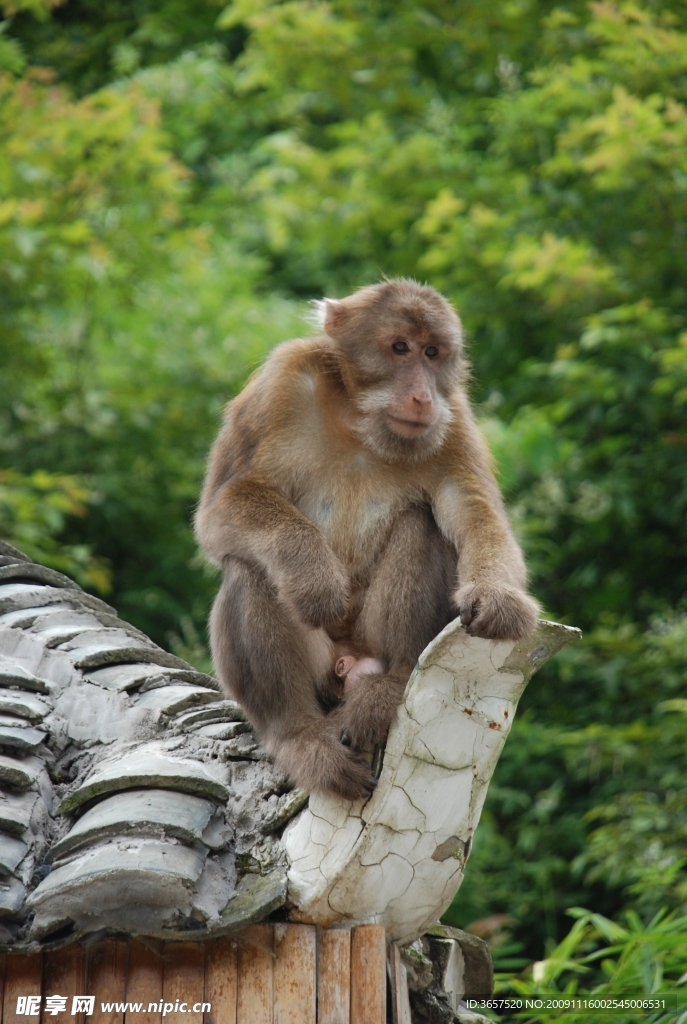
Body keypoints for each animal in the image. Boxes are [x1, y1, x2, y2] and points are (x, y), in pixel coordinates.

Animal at [196, 278, 540, 798]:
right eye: (399, 348)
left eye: (432, 352)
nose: (421, 396)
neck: (359, 421)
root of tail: (350, 666)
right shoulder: (280, 383)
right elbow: (222, 506)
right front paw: (312, 573)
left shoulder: (453, 420)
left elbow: (474, 514)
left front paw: (497, 596)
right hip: (321, 674)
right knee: (248, 566)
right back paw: (297, 735)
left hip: (371, 648)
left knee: (424, 524)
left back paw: (391, 684)